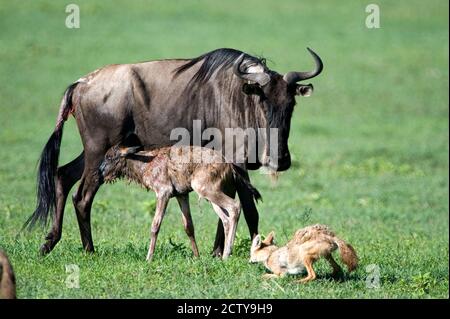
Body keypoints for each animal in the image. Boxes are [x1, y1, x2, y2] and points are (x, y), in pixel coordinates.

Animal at [98, 146, 260, 262]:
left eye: (110, 157)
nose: (100, 173)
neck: (147, 163)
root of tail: (229, 165)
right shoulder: (182, 195)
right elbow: (189, 227)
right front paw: (197, 257)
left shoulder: (163, 193)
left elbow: (155, 226)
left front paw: (148, 258)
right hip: (211, 196)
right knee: (226, 219)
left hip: (205, 189)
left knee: (235, 207)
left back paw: (227, 254)